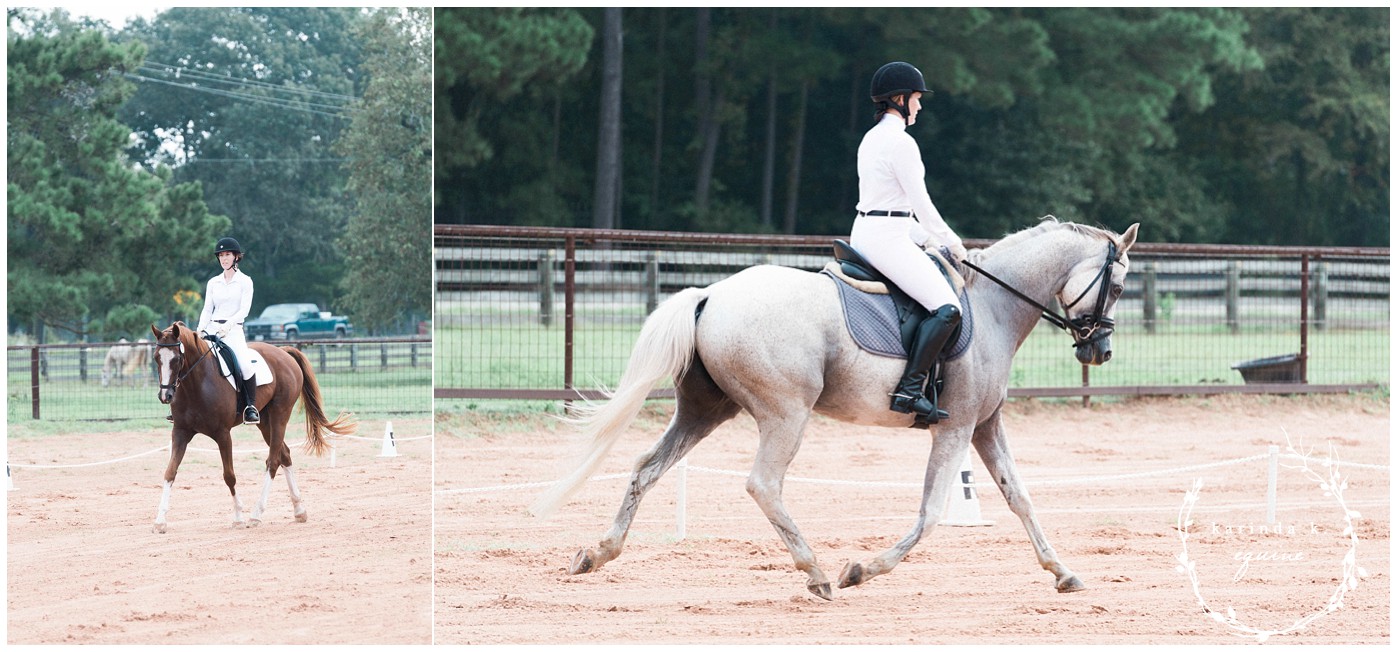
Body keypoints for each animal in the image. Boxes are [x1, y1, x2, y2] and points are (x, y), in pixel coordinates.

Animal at [148, 321, 356, 533]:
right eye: (156, 357)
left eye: (177, 359)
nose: (165, 396)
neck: (197, 383)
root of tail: (283, 352)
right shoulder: (180, 433)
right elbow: (170, 472)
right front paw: (160, 521)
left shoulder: (223, 434)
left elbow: (229, 475)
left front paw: (238, 517)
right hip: (264, 422)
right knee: (284, 455)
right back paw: (299, 510)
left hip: (280, 415)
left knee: (273, 461)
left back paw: (256, 514)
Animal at [531, 219, 1140, 600]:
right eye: (1117, 286)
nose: (1101, 351)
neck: (992, 304)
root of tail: (710, 294)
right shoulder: (959, 426)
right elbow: (931, 513)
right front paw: (862, 569)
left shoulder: (985, 425)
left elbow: (1021, 499)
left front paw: (1063, 572)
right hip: (786, 413)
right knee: (763, 484)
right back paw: (818, 573)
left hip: (706, 411)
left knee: (646, 469)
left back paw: (598, 553)